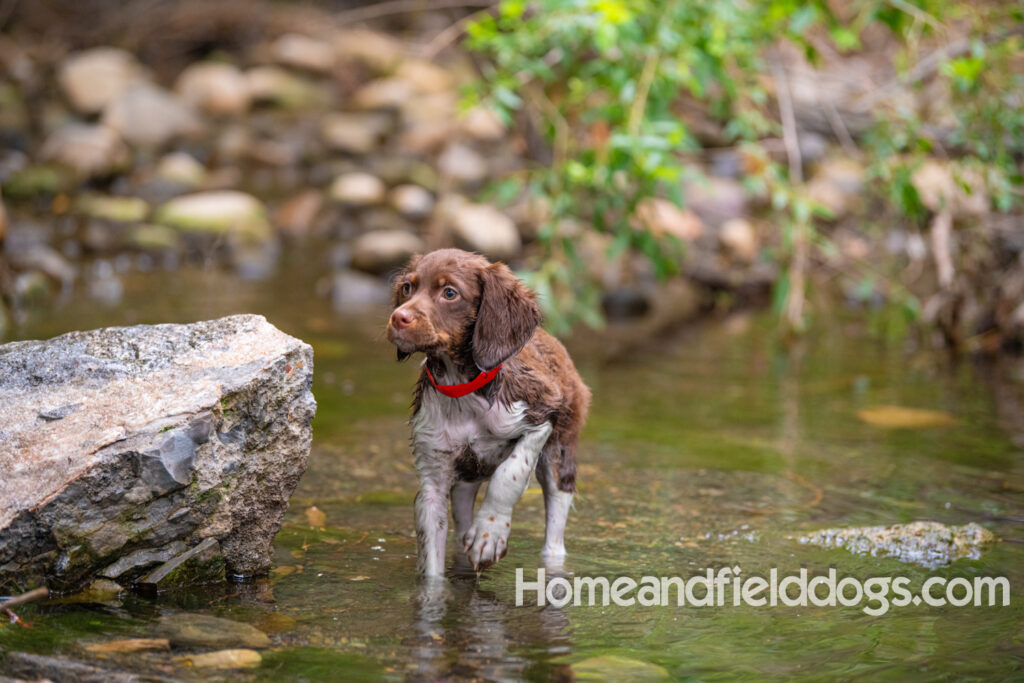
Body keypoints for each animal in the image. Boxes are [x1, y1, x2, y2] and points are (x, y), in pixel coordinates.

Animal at [385, 248, 593, 573]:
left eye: (449, 293)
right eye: (408, 287)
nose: (398, 317)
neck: (461, 391)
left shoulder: (542, 413)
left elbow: (510, 474)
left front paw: (490, 534)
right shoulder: (432, 474)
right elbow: (431, 559)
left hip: (560, 451)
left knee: (555, 532)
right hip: (464, 481)